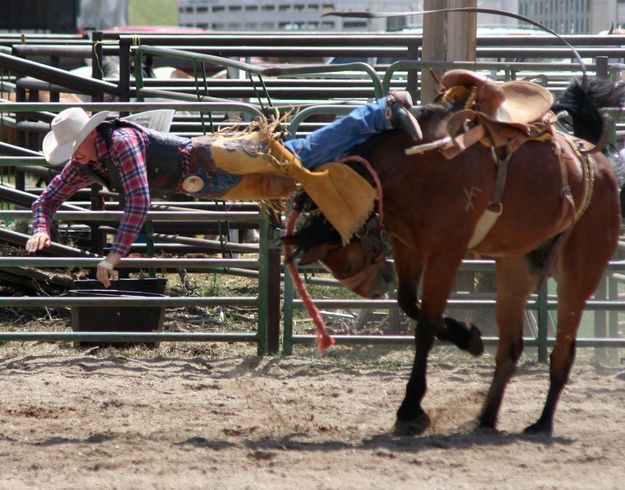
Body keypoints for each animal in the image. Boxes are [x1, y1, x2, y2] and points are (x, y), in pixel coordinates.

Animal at [284, 76, 624, 436]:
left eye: (347, 263)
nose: (378, 287)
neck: (422, 161)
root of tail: (599, 162)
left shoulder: (446, 253)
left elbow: (425, 327)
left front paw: (410, 410)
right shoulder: (408, 245)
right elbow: (410, 303)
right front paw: (469, 337)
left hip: (580, 270)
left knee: (563, 349)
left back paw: (542, 422)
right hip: (515, 266)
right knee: (511, 346)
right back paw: (486, 418)